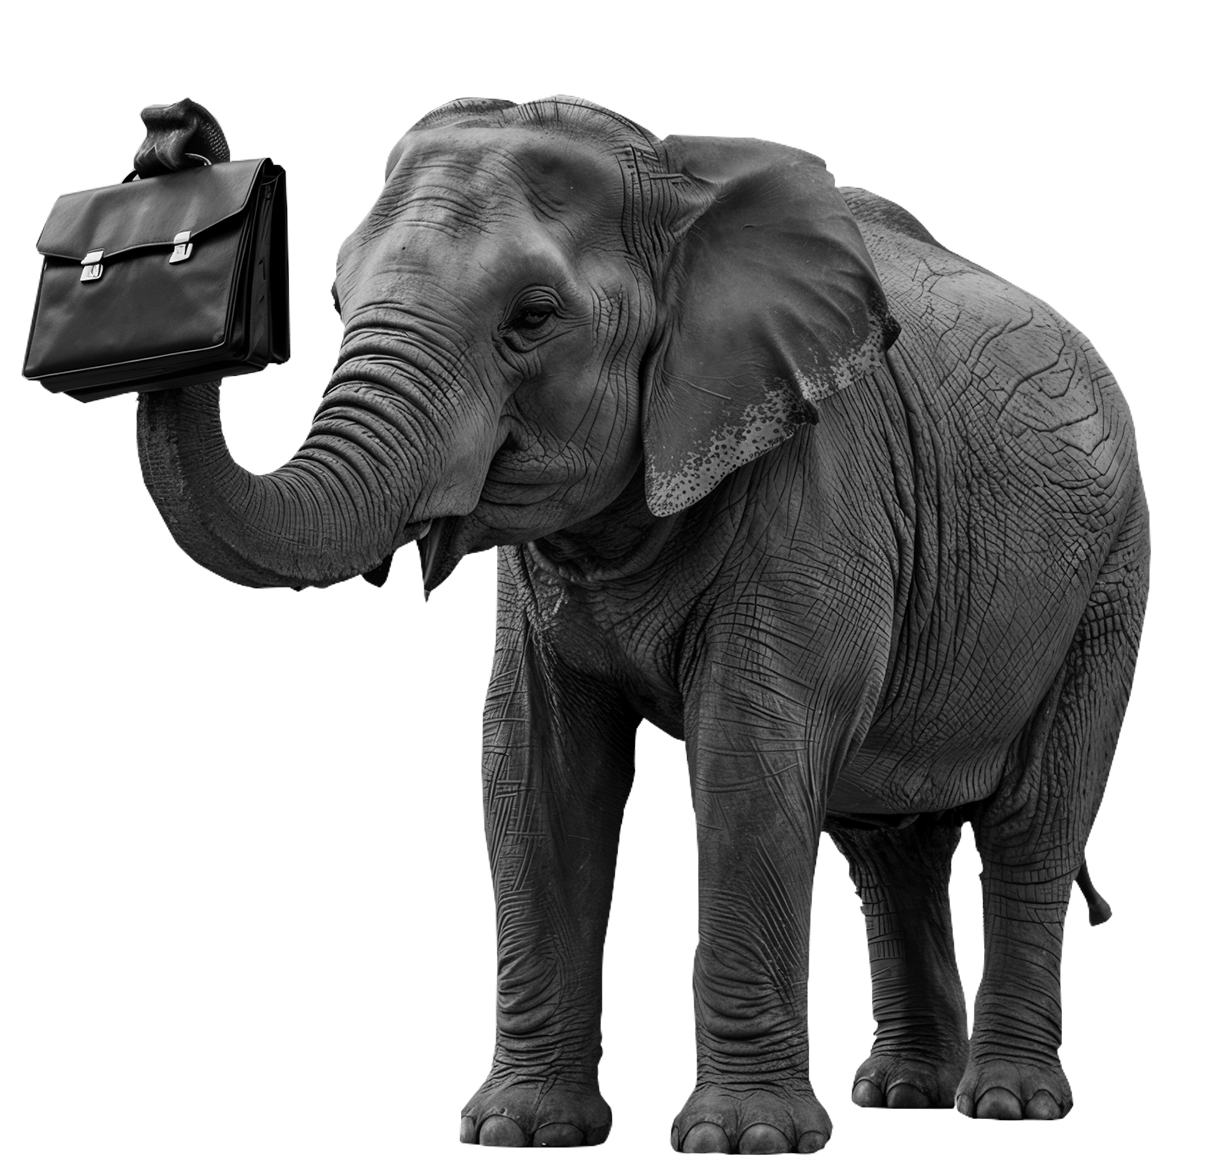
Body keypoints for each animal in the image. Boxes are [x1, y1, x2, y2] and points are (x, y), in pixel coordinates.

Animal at [131, 97, 1150, 1153]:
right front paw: (516, 1132)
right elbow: (534, 761)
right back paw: (896, 1095)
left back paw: (1012, 1103)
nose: (173, 134)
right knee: (886, 841)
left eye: (533, 318)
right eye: (331, 303)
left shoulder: (818, 487)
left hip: (1109, 577)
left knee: (1029, 821)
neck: (682, 185)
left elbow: (751, 748)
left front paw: (743, 1140)